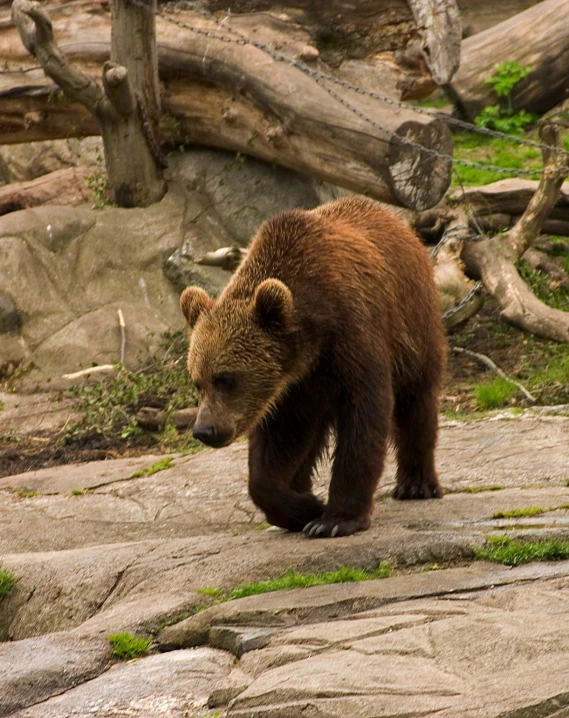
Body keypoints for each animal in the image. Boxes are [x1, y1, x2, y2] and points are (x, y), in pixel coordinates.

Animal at [180, 197, 446, 540]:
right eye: (197, 382)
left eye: (225, 379)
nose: (205, 430)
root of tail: (399, 221)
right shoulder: (292, 386)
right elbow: (278, 445)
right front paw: (303, 507)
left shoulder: (353, 337)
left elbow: (365, 418)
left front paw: (333, 520)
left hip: (413, 324)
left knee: (417, 401)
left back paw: (416, 484)